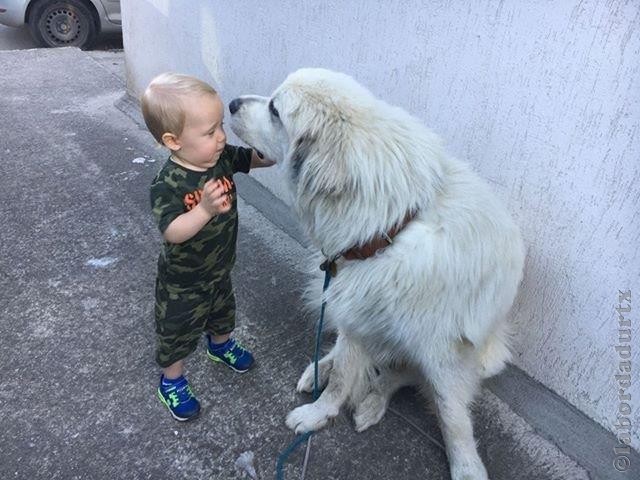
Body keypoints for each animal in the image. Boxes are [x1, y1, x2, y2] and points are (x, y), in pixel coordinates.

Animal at [230, 68, 524, 480]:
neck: (390, 225)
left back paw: (372, 399)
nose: (231, 103)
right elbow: (342, 375)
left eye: (274, 109)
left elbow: (452, 416)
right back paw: (321, 369)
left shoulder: (443, 349)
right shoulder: (355, 310)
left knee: (402, 373)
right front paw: (322, 405)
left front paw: (466, 466)